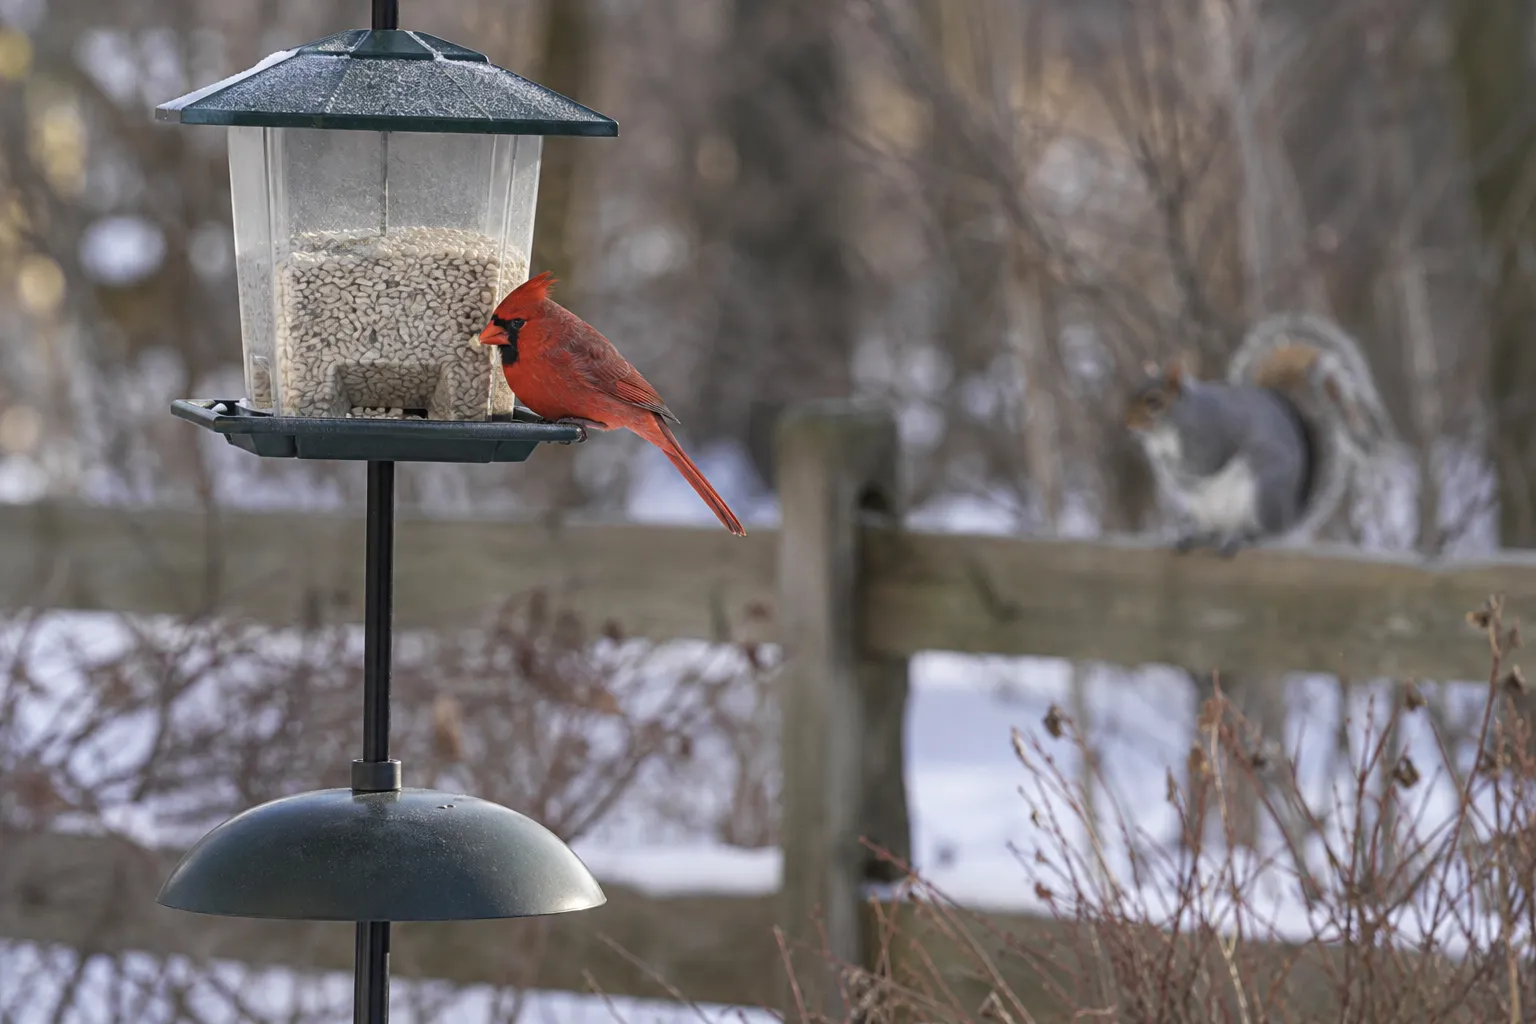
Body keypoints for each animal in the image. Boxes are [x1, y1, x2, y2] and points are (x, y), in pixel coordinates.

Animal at [1124, 314, 1396, 556]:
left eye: (1154, 401)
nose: (1128, 423)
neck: (1168, 430)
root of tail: (1288, 519)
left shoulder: (1211, 435)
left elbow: (1204, 464)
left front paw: (1169, 467)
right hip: (1205, 510)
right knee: (1214, 529)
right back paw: (1198, 536)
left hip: (1263, 490)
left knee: (1262, 533)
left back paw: (1242, 538)